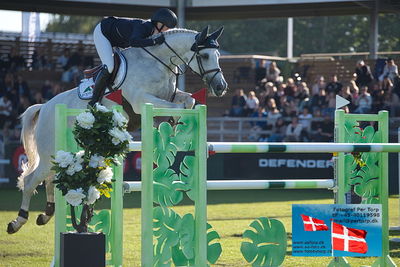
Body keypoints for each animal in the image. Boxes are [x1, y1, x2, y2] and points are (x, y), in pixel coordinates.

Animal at [7, 26, 227, 233]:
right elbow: (176, 106)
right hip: (49, 153)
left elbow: (188, 100)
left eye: (217, 55)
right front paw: (171, 122)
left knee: (51, 179)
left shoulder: (170, 94)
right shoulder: (142, 101)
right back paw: (17, 222)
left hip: (63, 153)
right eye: (204, 56)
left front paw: (174, 122)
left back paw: (46, 214)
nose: (221, 87)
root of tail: (44, 107)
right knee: (31, 181)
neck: (159, 63)